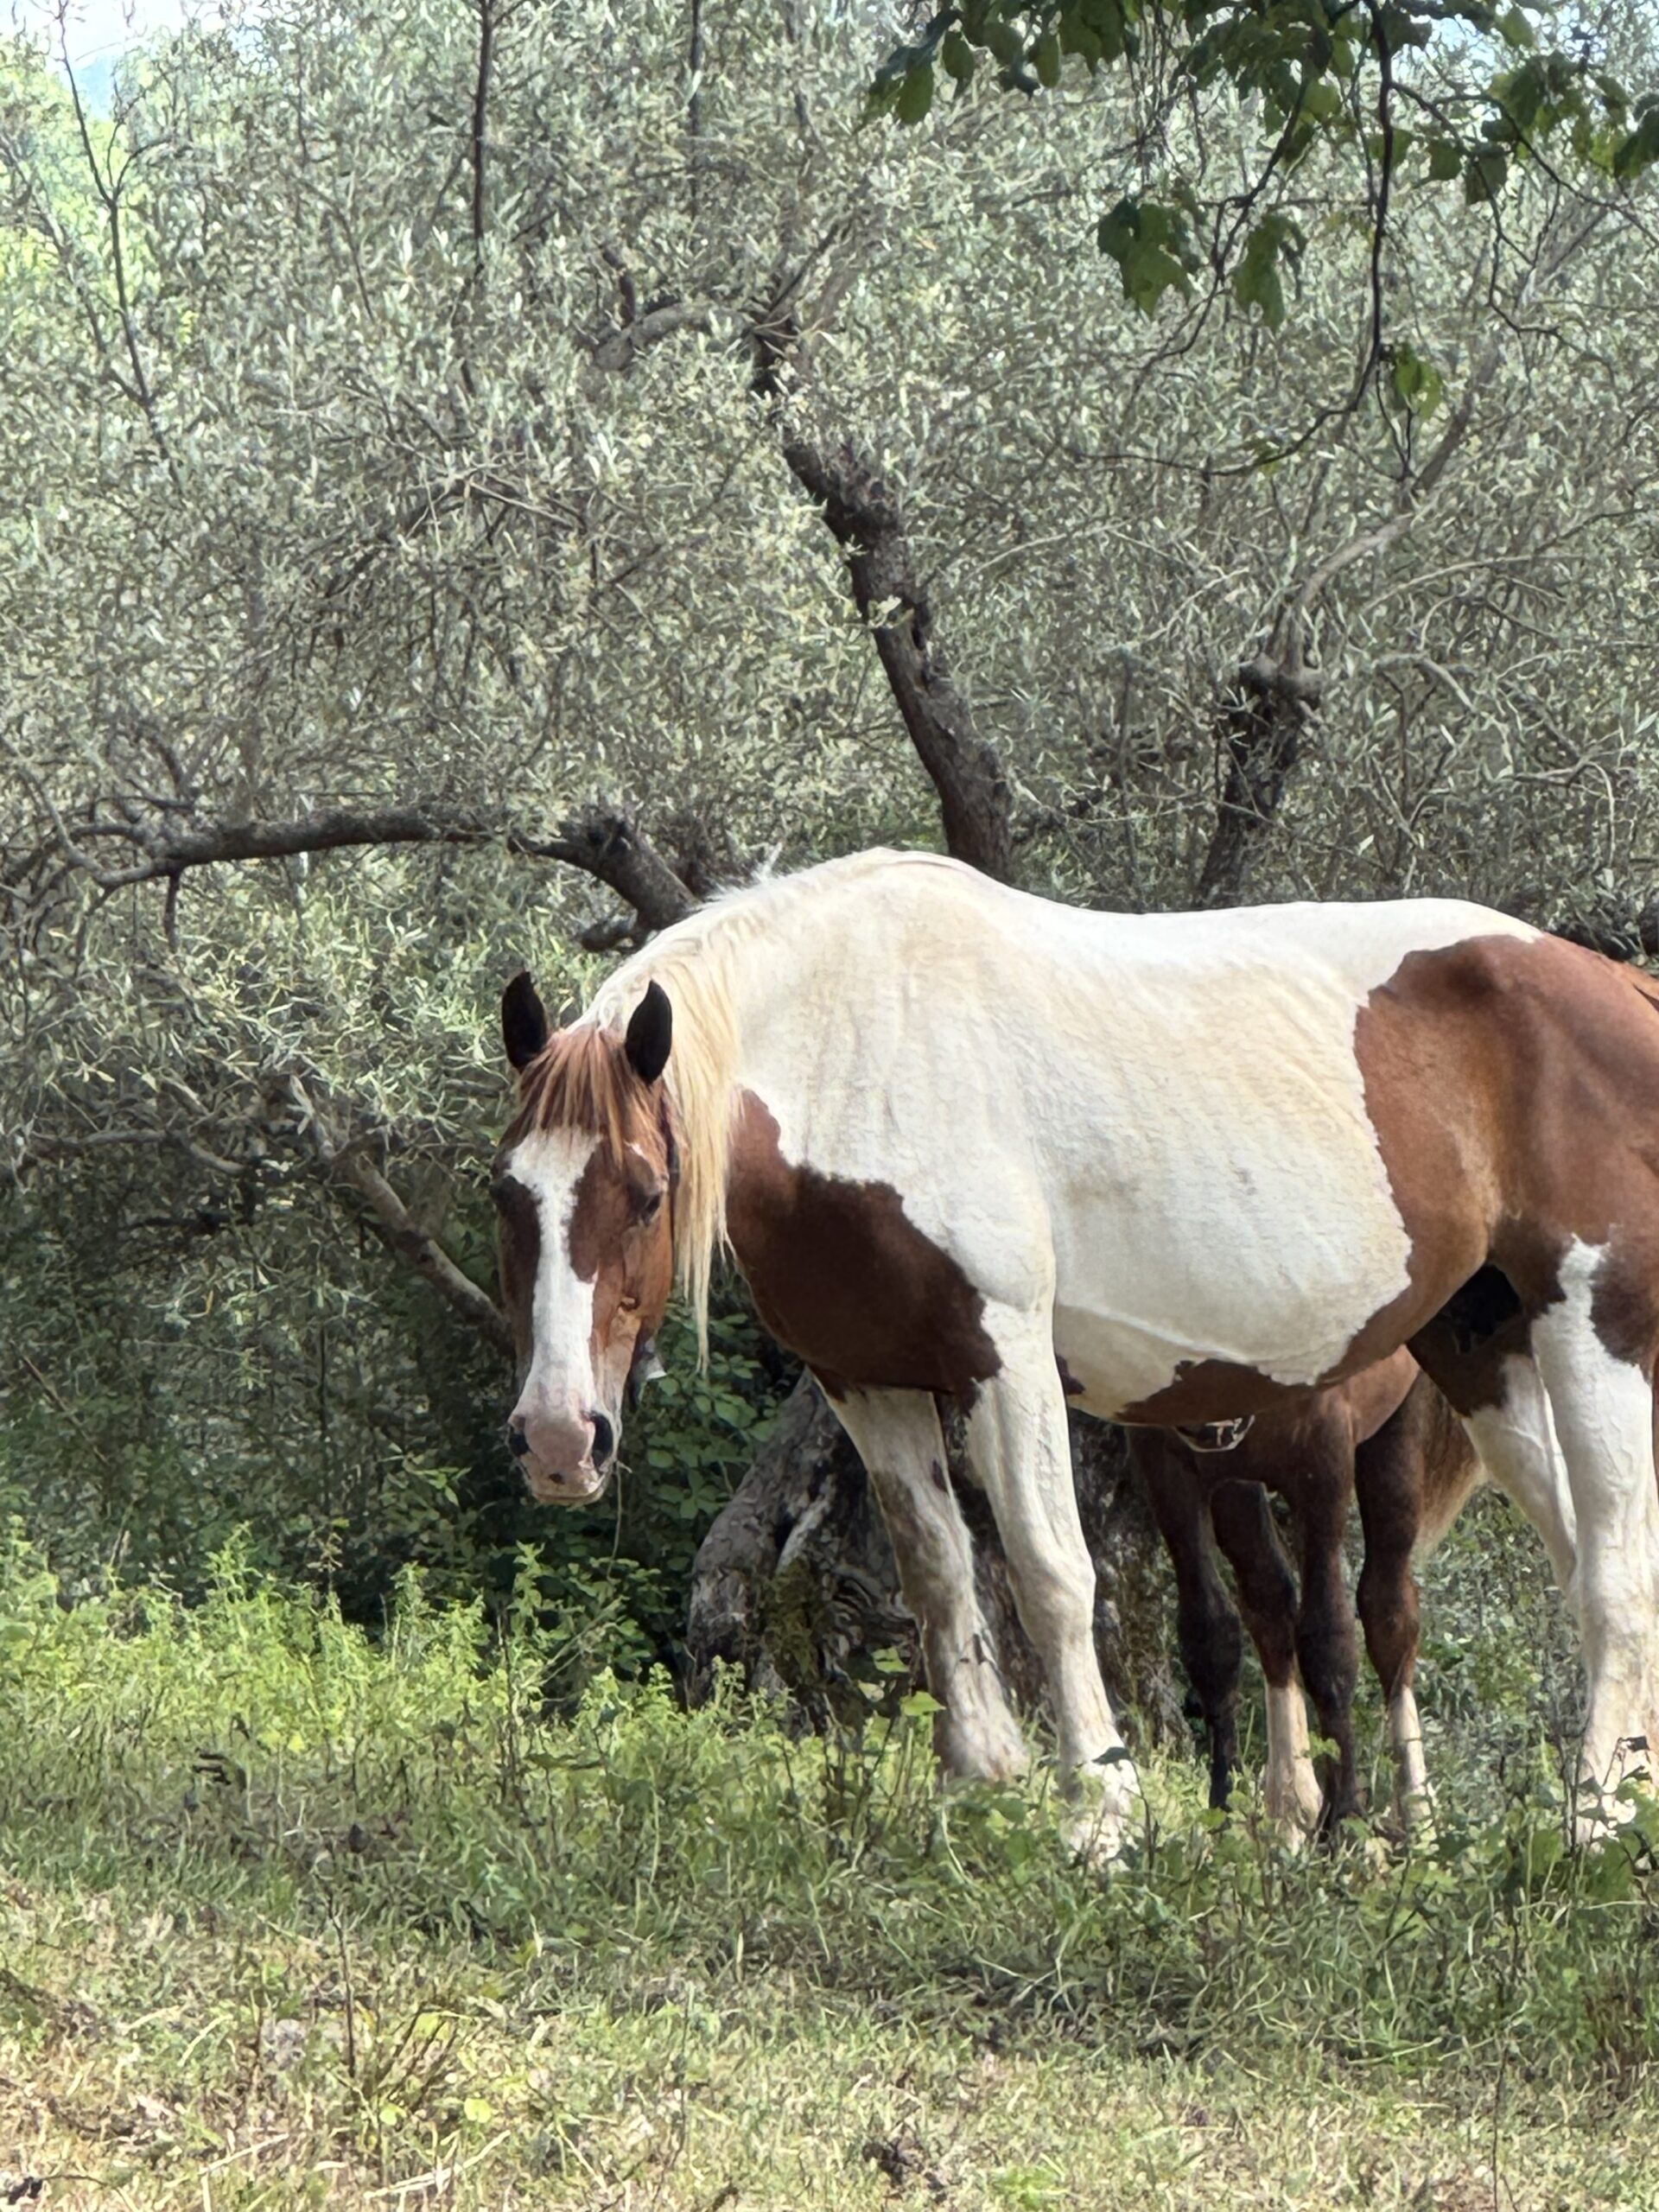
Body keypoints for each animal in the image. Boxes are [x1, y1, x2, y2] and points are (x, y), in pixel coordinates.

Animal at [1132, 1356, 1485, 1838]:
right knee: (1269, 1598)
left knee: (1389, 1614)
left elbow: (1329, 1645)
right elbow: (1211, 1638)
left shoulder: (1323, 1461)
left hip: (1394, 1437)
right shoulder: (1168, 1468)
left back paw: (1417, 1814)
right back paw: (1290, 1804)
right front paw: (1223, 1813)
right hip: (1237, 1479)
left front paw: (1347, 1822)